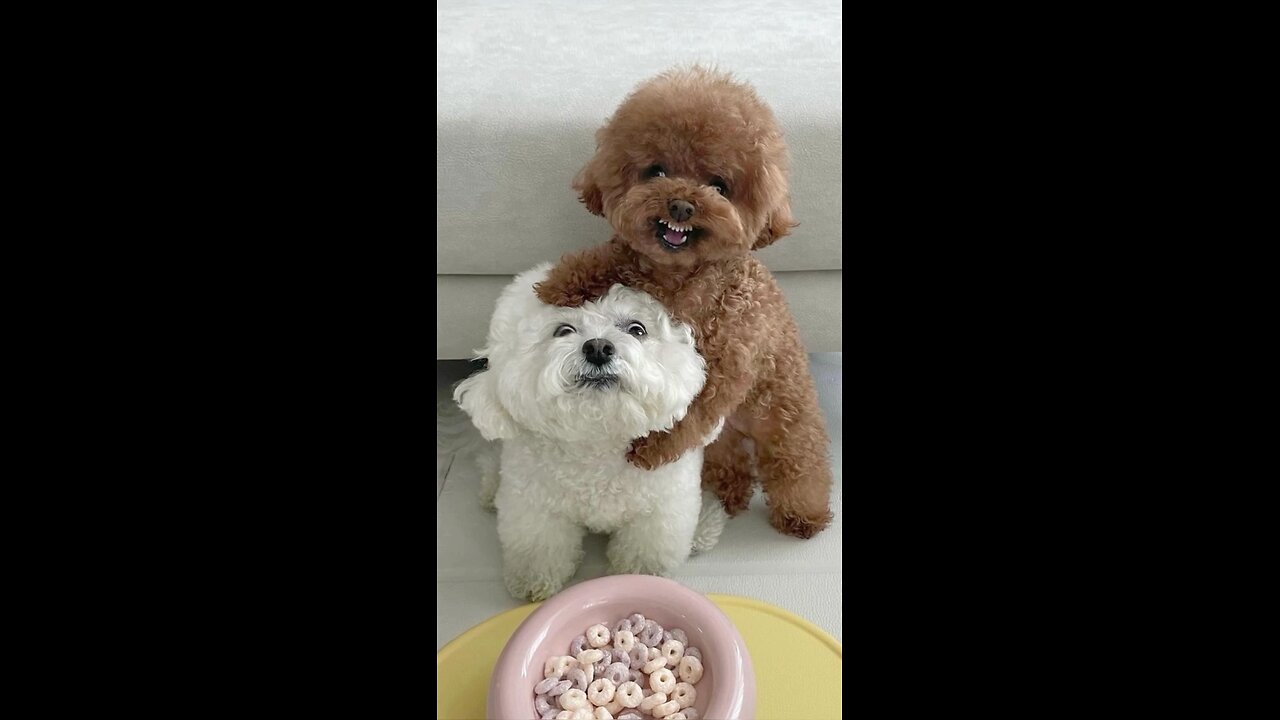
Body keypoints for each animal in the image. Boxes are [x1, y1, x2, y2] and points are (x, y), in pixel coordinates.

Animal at [455, 263, 727, 599]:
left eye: (637, 329)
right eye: (563, 330)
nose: (598, 347)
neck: (598, 442)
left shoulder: (660, 511)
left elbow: (645, 551)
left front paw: (643, 577)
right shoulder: (535, 508)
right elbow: (537, 549)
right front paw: (532, 582)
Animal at [535, 67, 834, 535]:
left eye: (719, 185)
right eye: (656, 171)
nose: (680, 205)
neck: (675, 278)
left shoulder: (725, 363)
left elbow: (688, 411)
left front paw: (650, 450)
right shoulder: (630, 264)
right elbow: (607, 255)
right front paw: (559, 282)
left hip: (787, 417)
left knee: (799, 463)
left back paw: (802, 514)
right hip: (725, 442)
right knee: (733, 464)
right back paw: (727, 494)